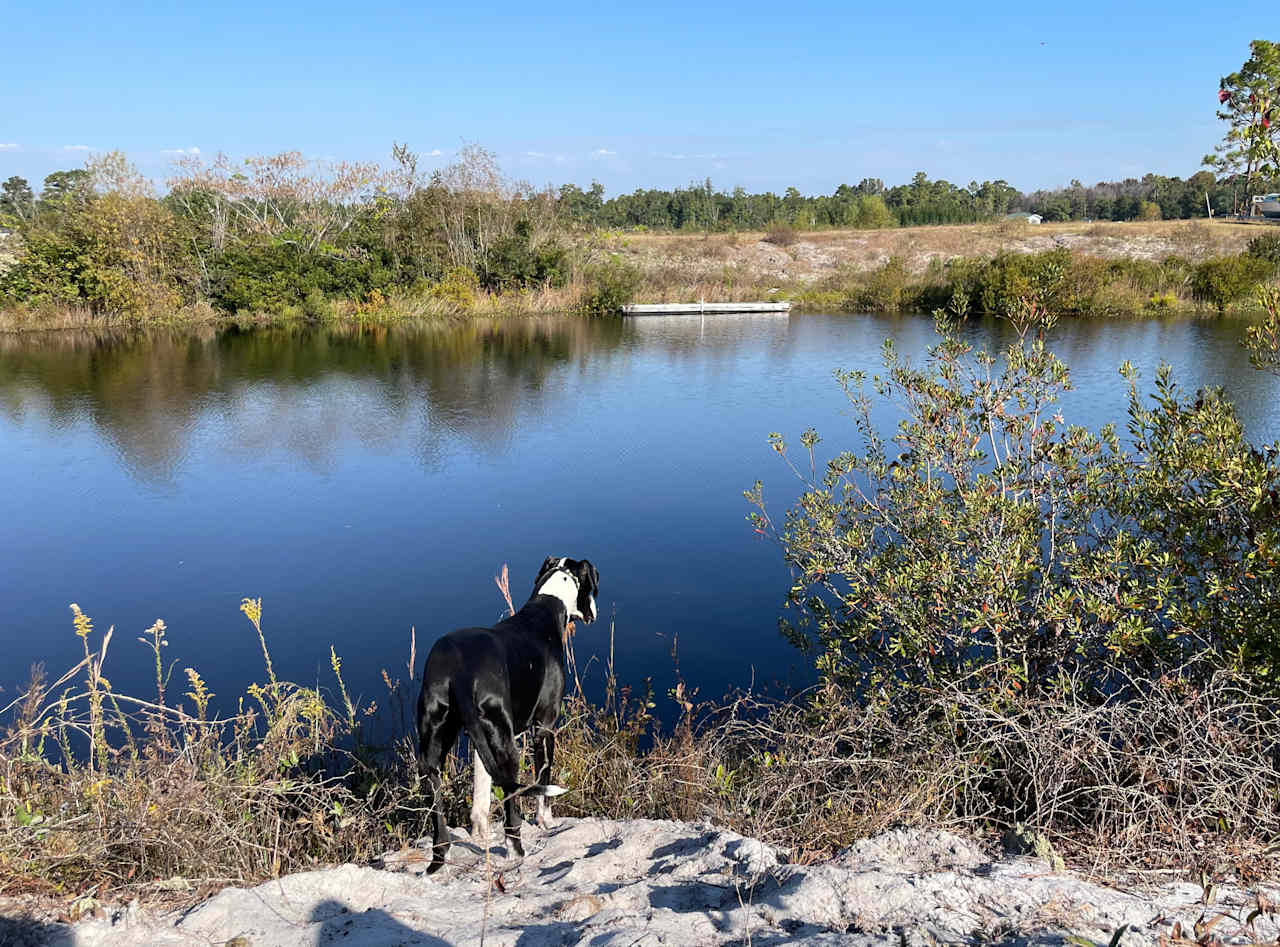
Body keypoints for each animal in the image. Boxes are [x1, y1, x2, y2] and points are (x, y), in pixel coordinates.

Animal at [417, 555, 601, 875]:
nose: (595, 613)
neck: (548, 603)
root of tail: (460, 670)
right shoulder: (544, 728)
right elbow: (542, 780)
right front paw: (546, 821)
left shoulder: (480, 741)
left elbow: (481, 793)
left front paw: (480, 833)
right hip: (508, 749)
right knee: (512, 798)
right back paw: (516, 849)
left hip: (436, 749)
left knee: (439, 811)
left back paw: (440, 857)